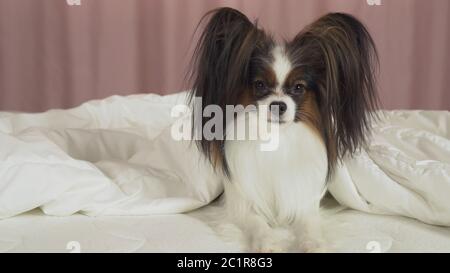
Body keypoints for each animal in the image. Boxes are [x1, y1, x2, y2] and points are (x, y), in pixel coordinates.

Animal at [188, 7, 378, 252]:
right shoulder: (242, 204)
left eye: (298, 87)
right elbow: (256, 223)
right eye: (259, 85)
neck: (276, 138)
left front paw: (313, 244)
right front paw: (267, 243)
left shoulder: (304, 200)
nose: (279, 105)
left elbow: (308, 224)